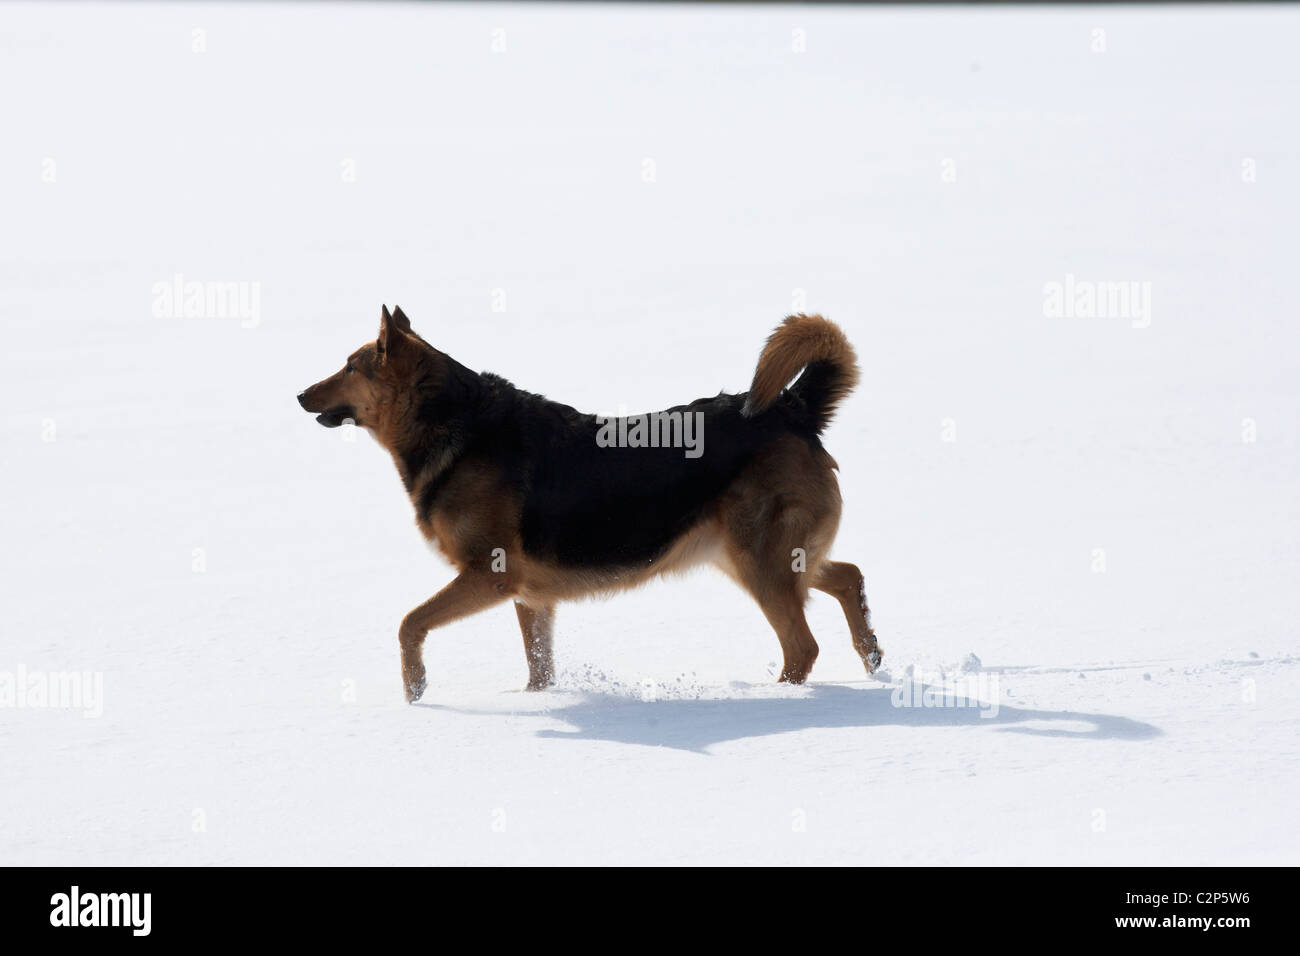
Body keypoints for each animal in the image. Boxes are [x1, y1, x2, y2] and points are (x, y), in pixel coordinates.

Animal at [297, 308, 883, 702]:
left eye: (350, 368)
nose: (300, 394)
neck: (451, 422)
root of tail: (794, 408)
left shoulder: (491, 576)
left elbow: (408, 624)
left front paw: (415, 690)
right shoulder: (530, 596)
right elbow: (539, 668)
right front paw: (534, 703)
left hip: (758, 560)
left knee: (803, 646)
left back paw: (777, 698)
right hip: (759, 557)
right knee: (847, 575)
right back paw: (872, 655)